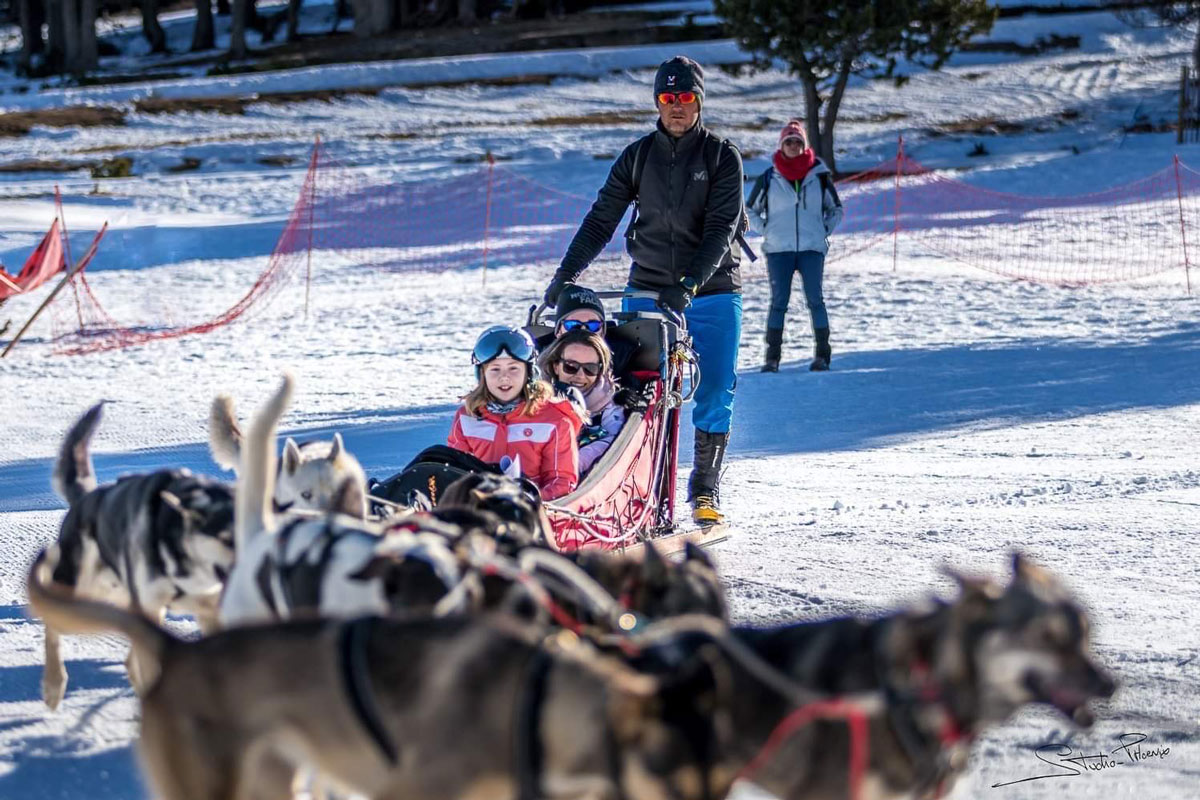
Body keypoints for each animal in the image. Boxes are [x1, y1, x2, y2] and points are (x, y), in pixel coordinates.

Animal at [34, 402, 236, 710]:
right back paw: (53, 684)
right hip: (83, 592)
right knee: (52, 624)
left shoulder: (208, 612)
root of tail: (86, 499)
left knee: (132, 663)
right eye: (226, 538)